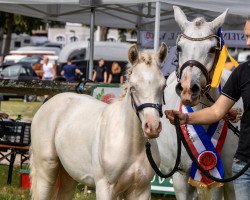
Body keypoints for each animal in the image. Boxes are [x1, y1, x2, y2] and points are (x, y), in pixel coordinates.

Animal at [29, 43, 168, 199]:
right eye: (133, 87)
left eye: (163, 86)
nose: (152, 127)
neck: (130, 143)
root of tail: (45, 106)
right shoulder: (104, 187)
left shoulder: (141, 190)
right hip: (46, 172)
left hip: (68, 175)